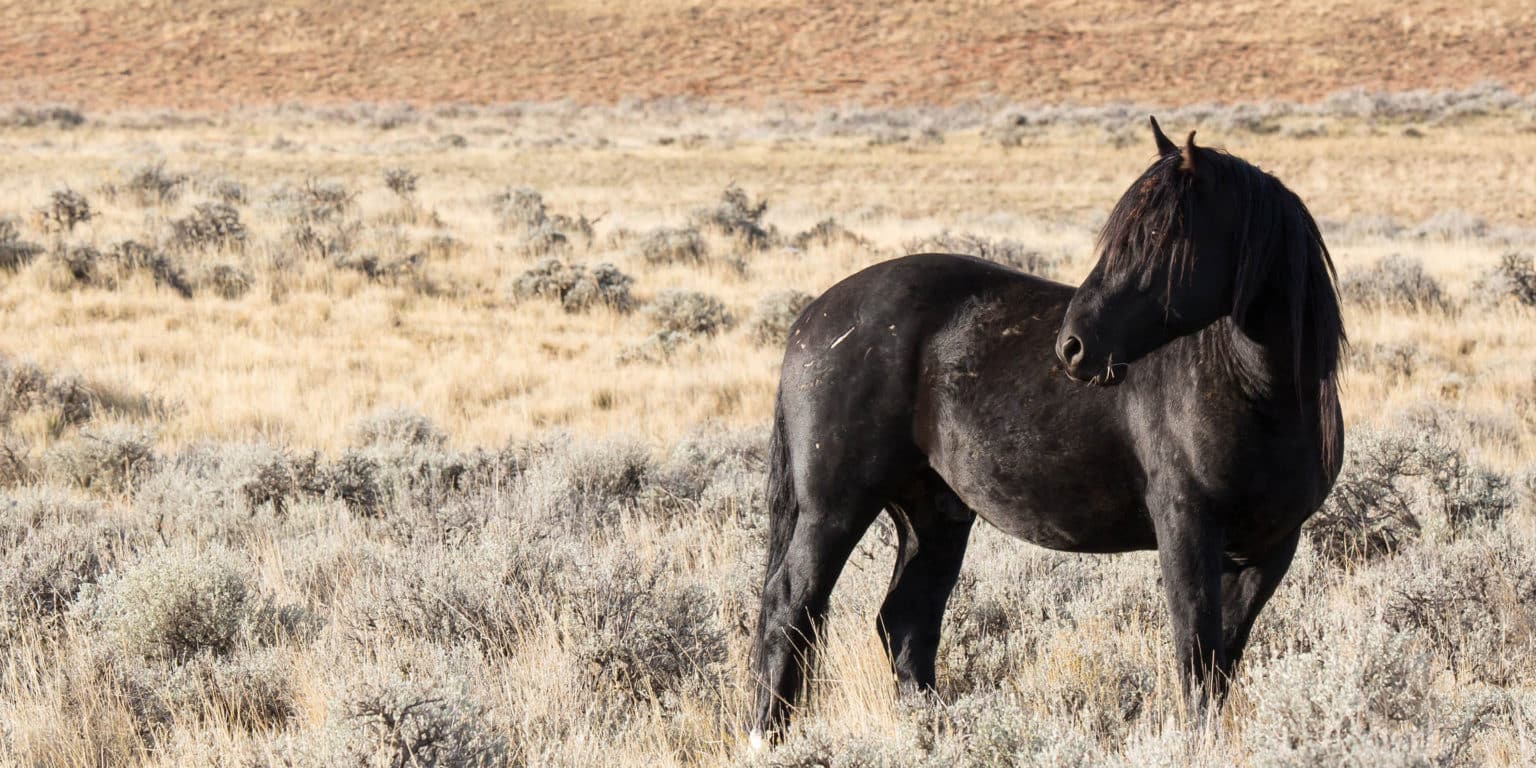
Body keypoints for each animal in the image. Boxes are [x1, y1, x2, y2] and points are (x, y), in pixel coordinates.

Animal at [749, 118, 1339, 743]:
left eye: (1160, 236)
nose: (1072, 346)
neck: (1257, 395)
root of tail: (811, 318)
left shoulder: (1271, 549)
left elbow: (1222, 657)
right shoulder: (1186, 527)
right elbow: (1196, 652)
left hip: (933, 513)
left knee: (905, 622)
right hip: (835, 508)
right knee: (790, 607)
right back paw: (770, 735)